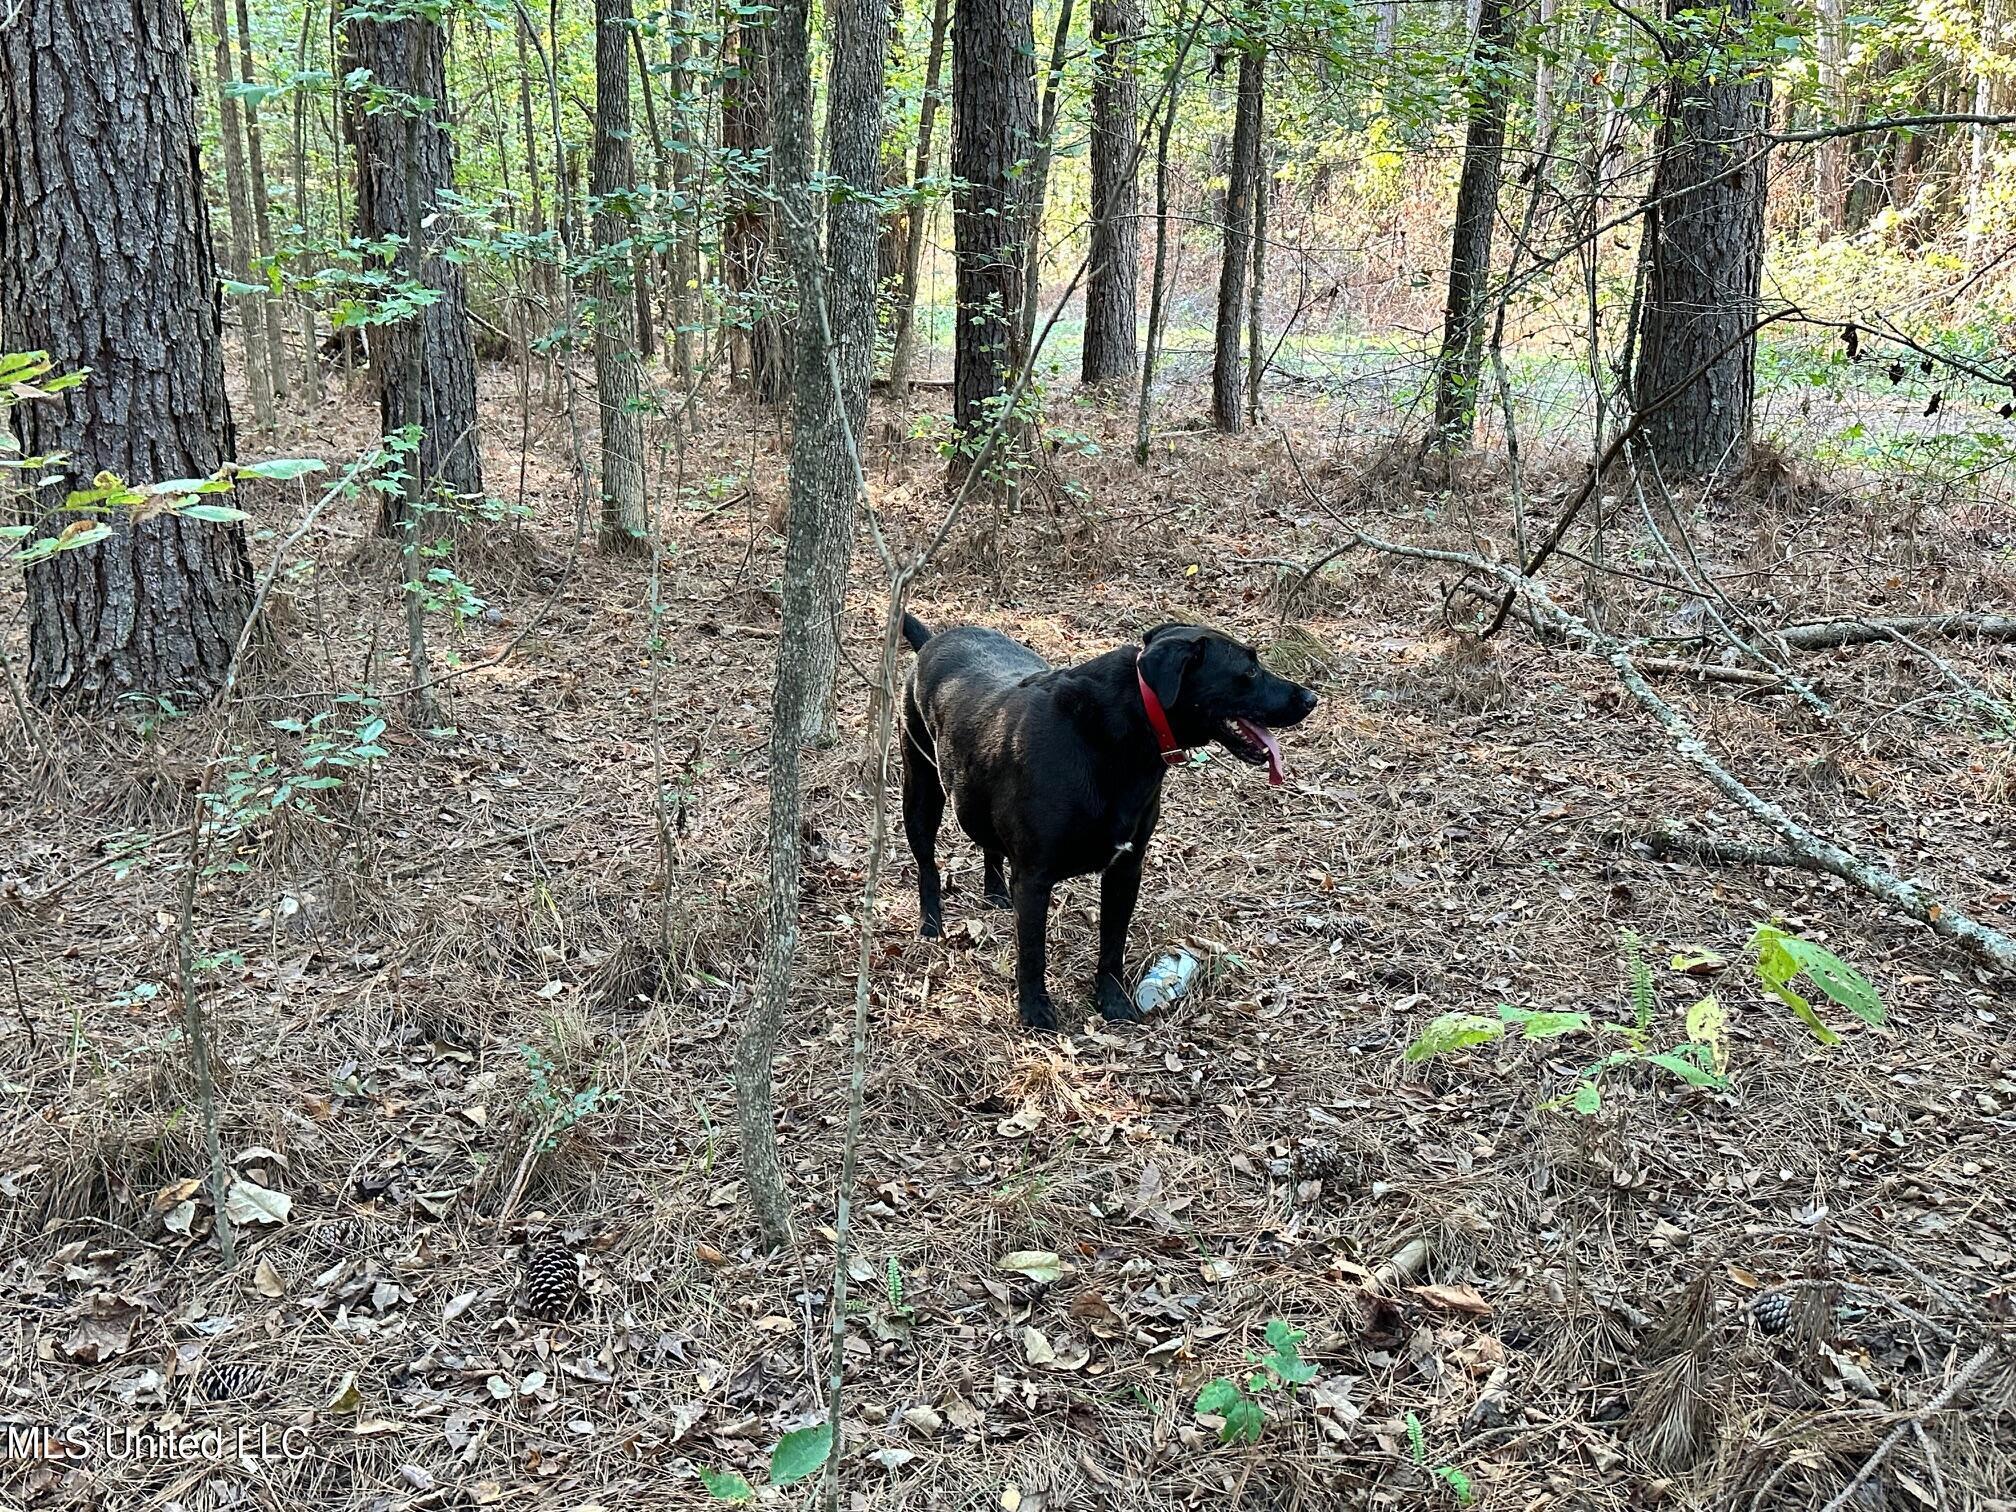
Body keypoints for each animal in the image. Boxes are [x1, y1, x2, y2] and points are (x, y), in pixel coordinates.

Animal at [903, 616, 1314, 1032]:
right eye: (1249, 670)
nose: (1311, 698)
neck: (1121, 731)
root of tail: (932, 641)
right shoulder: (1035, 878)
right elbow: (1033, 953)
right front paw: (1035, 1011)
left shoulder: (1126, 868)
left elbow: (1113, 943)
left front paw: (1113, 1001)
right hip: (920, 792)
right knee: (927, 866)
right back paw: (930, 924)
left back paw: (996, 893)